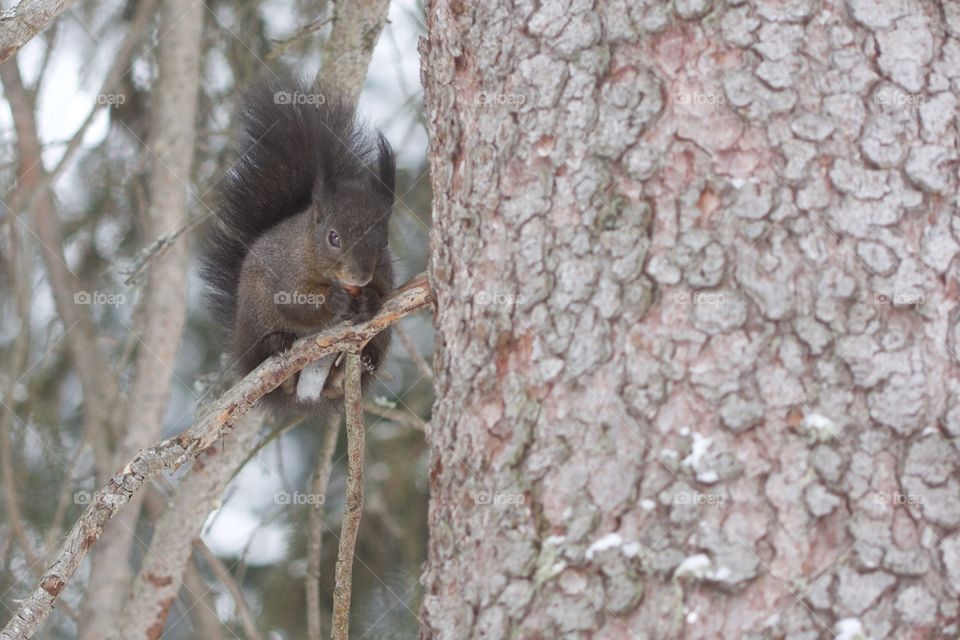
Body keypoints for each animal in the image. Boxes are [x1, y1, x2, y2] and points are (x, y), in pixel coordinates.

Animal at [201, 76, 396, 416]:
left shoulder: (385, 273)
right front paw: (334, 300)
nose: (360, 278)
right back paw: (276, 346)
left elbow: (385, 294)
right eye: (333, 237)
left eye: (384, 240)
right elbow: (295, 303)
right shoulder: (286, 270)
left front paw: (370, 299)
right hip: (254, 316)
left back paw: (356, 366)